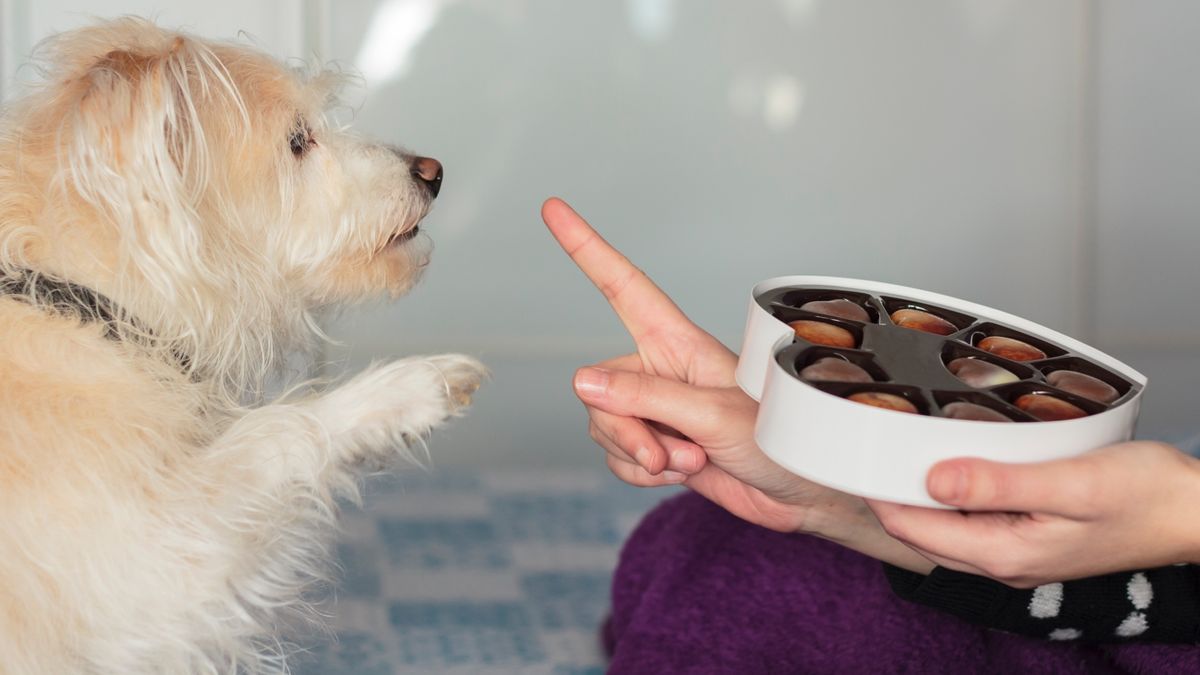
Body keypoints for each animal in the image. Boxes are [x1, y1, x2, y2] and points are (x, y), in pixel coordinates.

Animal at [2, 17, 487, 672]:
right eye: (298, 141)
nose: (433, 171)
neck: (85, 300)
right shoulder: (149, 566)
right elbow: (274, 432)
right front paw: (405, 390)